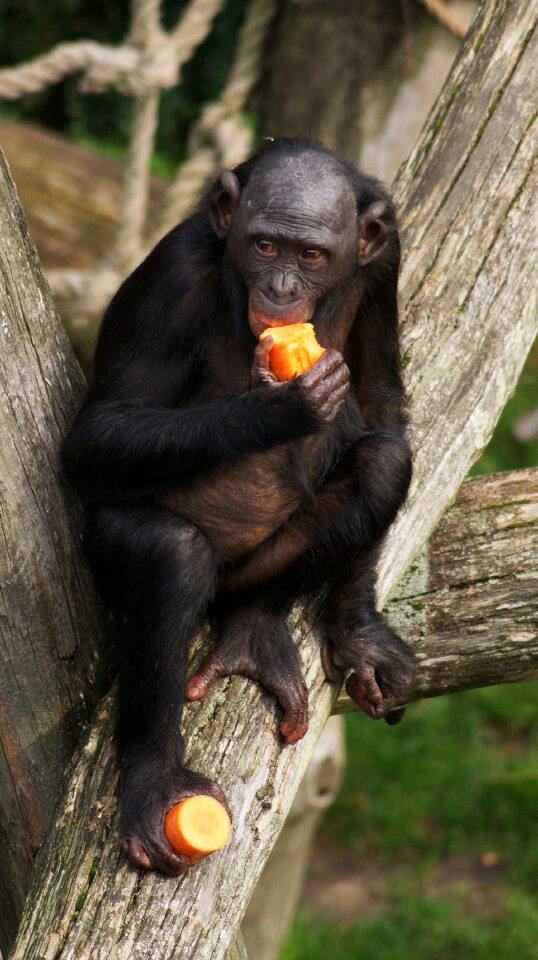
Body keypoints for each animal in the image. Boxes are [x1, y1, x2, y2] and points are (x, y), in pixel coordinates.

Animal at [63, 137, 414, 876]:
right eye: (264, 245)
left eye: (311, 255)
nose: (280, 288)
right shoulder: (168, 277)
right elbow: (97, 433)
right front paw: (276, 407)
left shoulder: (386, 261)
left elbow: (379, 397)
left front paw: (360, 627)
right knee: (174, 557)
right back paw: (154, 783)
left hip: (257, 570)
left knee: (382, 464)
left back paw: (257, 627)